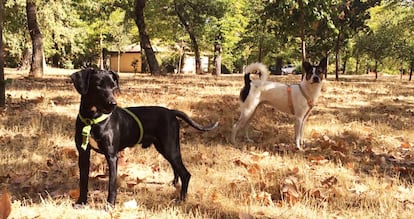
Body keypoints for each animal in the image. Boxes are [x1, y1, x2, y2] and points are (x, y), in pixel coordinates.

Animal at [70, 69, 220, 207]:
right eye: (98, 85)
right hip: (164, 148)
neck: (92, 120)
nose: (113, 104)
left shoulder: (112, 156)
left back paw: (181, 200)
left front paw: (109, 206)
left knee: (186, 174)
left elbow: (112, 184)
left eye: (113, 86)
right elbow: (83, 181)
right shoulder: (83, 154)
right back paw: (174, 184)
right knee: (176, 168)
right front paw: (81, 202)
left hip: (170, 147)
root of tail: (171, 112)